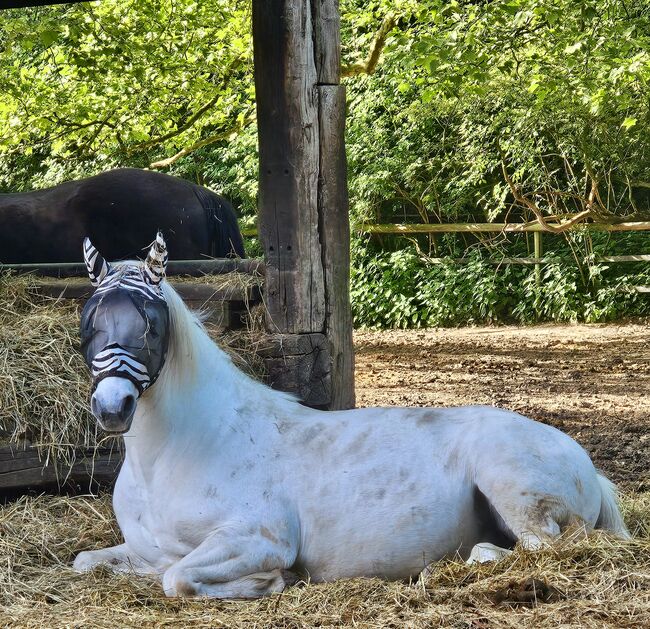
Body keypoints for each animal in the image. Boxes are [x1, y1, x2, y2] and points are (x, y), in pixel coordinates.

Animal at [73, 233, 630, 598]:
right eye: (87, 322)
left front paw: (273, 582)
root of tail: (584, 463)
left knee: (538, 549)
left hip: (515, 492)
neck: (178, 454)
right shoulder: (144, 549)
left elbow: (177, 578)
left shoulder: (255, 540)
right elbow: (88, 562)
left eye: (150, 325)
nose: (112, 408)